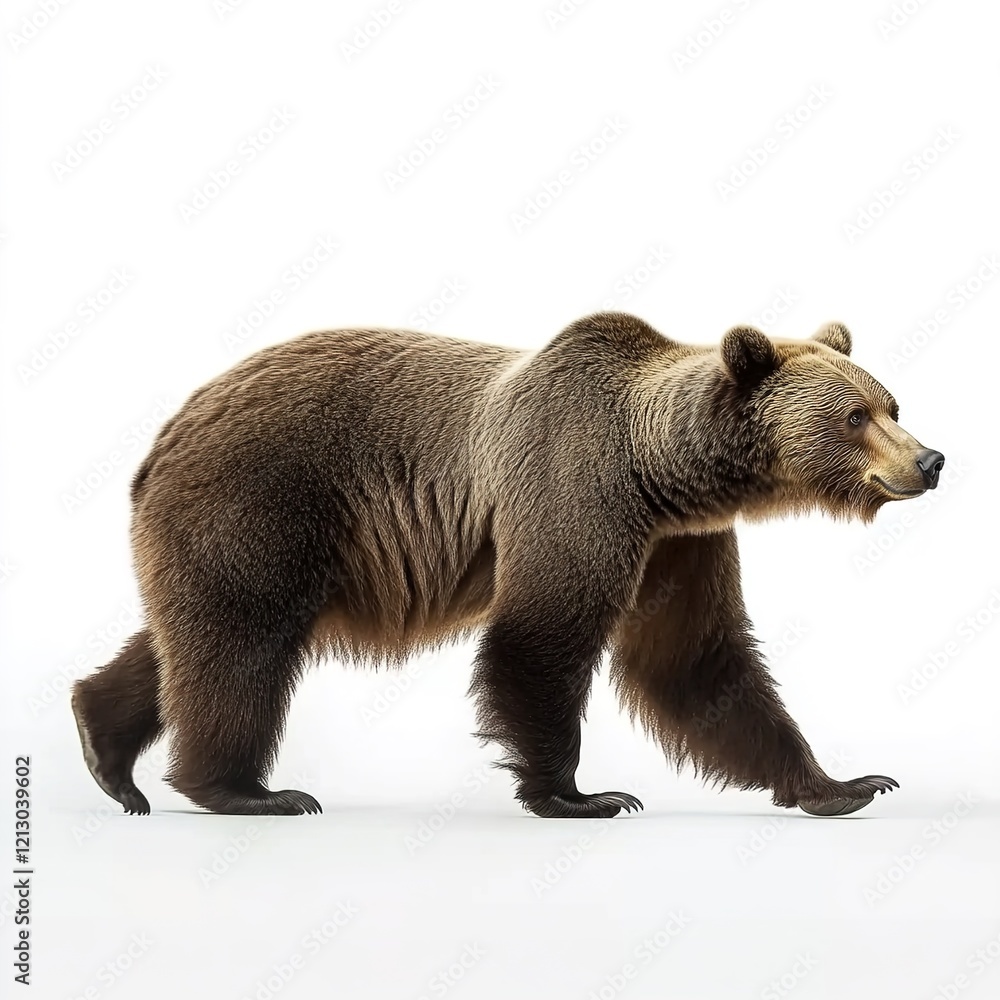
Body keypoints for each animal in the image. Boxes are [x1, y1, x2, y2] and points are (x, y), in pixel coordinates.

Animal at [71, 312, 944, 819]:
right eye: (855, 415)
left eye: (892, 404)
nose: (930, 459)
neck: (661, 473)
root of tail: (166, 431)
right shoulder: (576, 490)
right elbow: (541, 636)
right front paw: (581, 794)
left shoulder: (681, 544)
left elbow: (698, 662)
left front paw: (845, 784)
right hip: (261, 499)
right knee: (242, 642)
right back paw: (250, 791)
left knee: (183, 639)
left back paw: (108, 753)